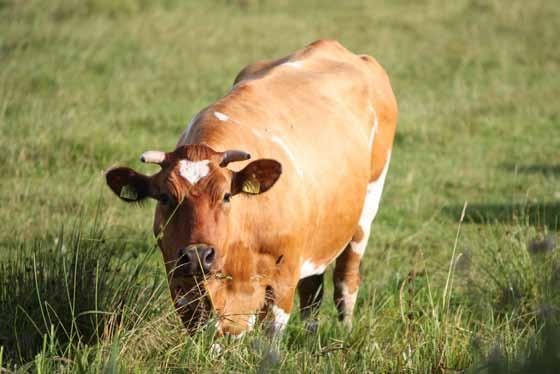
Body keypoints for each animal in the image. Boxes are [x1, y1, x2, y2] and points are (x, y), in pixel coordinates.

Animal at [106, 40, 398, 336]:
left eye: (226, 196)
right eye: (165, 198)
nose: (198, 255)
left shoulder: (281, 283)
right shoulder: (182, 285)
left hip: (366, 210)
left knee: (345, 281)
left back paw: (345, 331)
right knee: (312, 292)